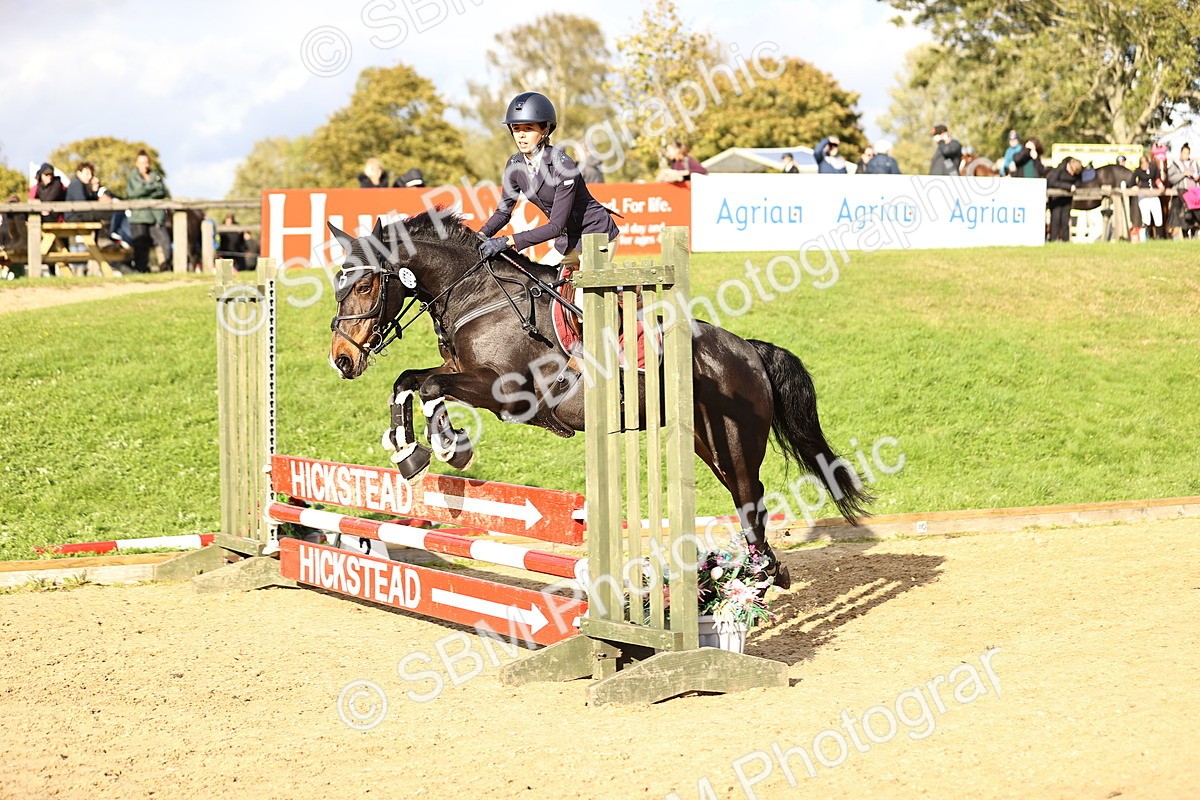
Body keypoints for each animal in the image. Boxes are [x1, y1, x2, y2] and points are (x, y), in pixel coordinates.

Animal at [327, 212, 872, 586]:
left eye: (368, 283)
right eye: (338, 287)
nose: (342, 359)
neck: (477, 295)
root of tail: (750, 350)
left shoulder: (508, 395)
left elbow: (430, 388)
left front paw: (446, 444)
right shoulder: (460, 371)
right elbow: (408, 380)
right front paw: (406, 448)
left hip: (735, 445)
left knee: (750, 499)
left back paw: (761, 576)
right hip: (706, 444)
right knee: (748, 502)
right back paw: (766, 574)